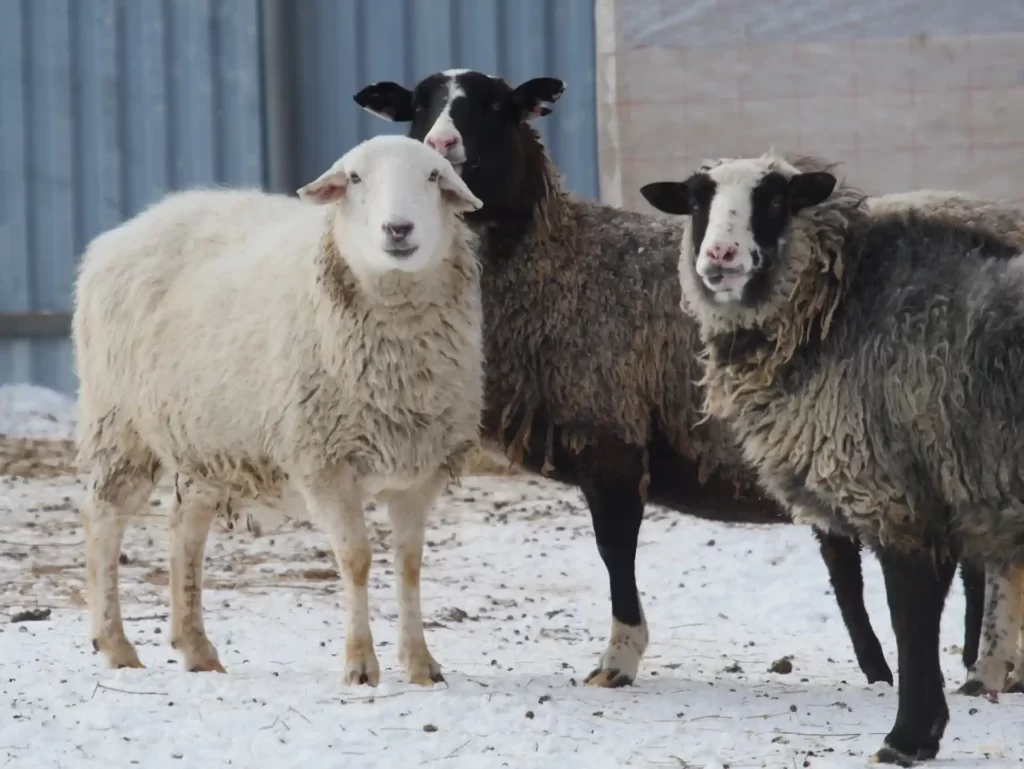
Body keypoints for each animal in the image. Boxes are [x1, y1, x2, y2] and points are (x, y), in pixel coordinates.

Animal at [72, 134, 484, 687]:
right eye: (355, 178)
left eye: (434, 177)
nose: (398, 229)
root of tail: (121, 233)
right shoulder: (323, 462)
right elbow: (356, 558)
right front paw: (360, 664)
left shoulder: (421, 469)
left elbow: (410, 564)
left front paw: (421, 664)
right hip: (120, 424)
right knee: (104, 517)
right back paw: (115, 644)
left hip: (204, 436)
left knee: (185, 528)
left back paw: (195, 647)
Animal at [352, 69, 903, 689]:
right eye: (418, 107)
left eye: (497, 106)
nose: (440, 145)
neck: (556, 266)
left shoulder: (610, 431)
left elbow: (615, 549)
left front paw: (617, 660)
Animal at [639, 149, 1024, 764]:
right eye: (697, 201)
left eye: (775, 199)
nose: (721, 256)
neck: (833, 311)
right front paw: (922, 733)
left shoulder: (897, 498)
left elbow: (911, 622)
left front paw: (907, 739)